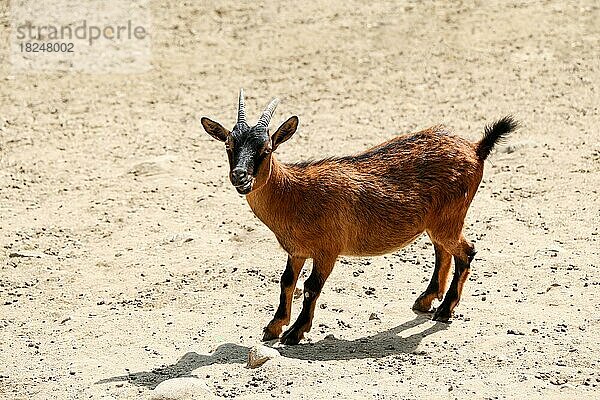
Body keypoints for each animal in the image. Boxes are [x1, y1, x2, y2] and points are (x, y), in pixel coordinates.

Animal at [199, 90, 516, 344]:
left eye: (266, 150)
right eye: (228, 146)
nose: (240, 177)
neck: (295, 194)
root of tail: (476, 149)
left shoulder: (327, 250)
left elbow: (311, 287)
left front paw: (295, 332)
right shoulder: (297, 251)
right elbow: (286, 282)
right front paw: (274, 326)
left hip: (450, 219)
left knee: (466, 251)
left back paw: (445, 309)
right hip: (438, 223)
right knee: (443, 252)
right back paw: (426, 300)